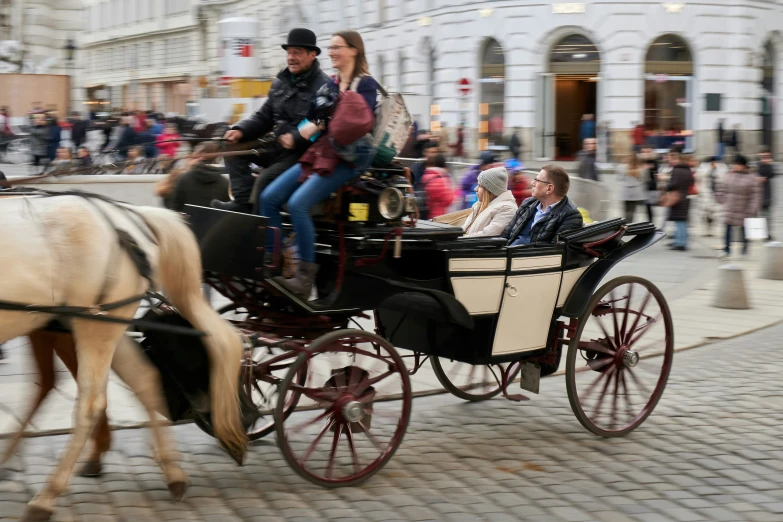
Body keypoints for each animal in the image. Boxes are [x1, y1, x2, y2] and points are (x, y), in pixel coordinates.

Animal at [0, 193, 248, 516]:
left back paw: (47, 496)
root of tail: (130, 216)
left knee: (90, 403)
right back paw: (173, 475)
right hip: (101, 325)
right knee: (143, 377)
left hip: (95, 326)